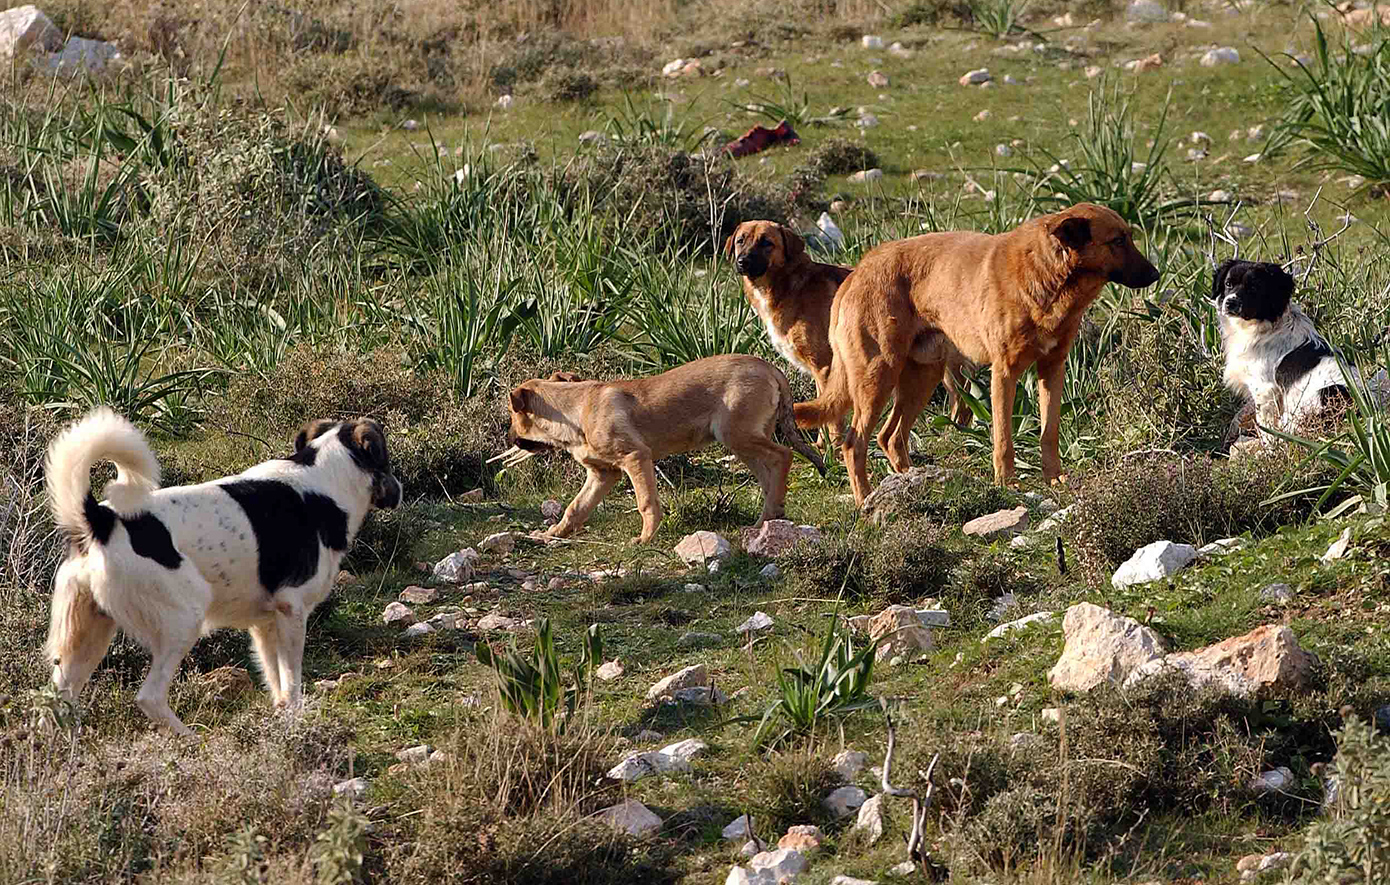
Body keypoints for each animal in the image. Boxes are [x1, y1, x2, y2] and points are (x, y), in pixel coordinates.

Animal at [44, 411, 403, 733]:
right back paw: (190, 738)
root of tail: (101, 520)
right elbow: (292, 684)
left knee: (58, 698)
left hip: (89, 634)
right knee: (150, 697)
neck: (325, 478)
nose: (398, 491)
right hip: (183, 620)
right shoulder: (292, 610)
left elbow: (277, 684)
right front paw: (296, 724)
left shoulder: (265, 624)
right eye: (385, 458)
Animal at [497, 355, 822, 541]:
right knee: (769, 475)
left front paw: (645, 538)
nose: (510, 439)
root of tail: (770, 367)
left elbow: (646, 502)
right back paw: (768, 518)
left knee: (784, 455)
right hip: (744, 440)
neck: (576, 409)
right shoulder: (603, 473)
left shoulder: (635, 457)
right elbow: (576, 506)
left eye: (513, 416)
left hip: (737, 435)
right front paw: (555, 533)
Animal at [728, 220, 967, 455]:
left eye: (766, 242)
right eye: (741, 241)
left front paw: (832, 449)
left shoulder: (824, 366)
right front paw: (822, 446)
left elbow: (832, 419)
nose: (742, 262)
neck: (789, 284)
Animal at [795, 201, 1162, 502]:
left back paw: (911, 486)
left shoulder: (1052, 369)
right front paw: (1007, 484)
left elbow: (1049, 432)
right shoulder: (1004, 373)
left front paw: (1054, 479)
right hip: (878, 377)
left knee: (890, 437)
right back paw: (865, 501)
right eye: (1118, 241)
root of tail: (856, 273)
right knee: (854, 443)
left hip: (922, 376)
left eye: (1129, 237)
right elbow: (1003, 439)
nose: (1156, 275)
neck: (1049, 278)